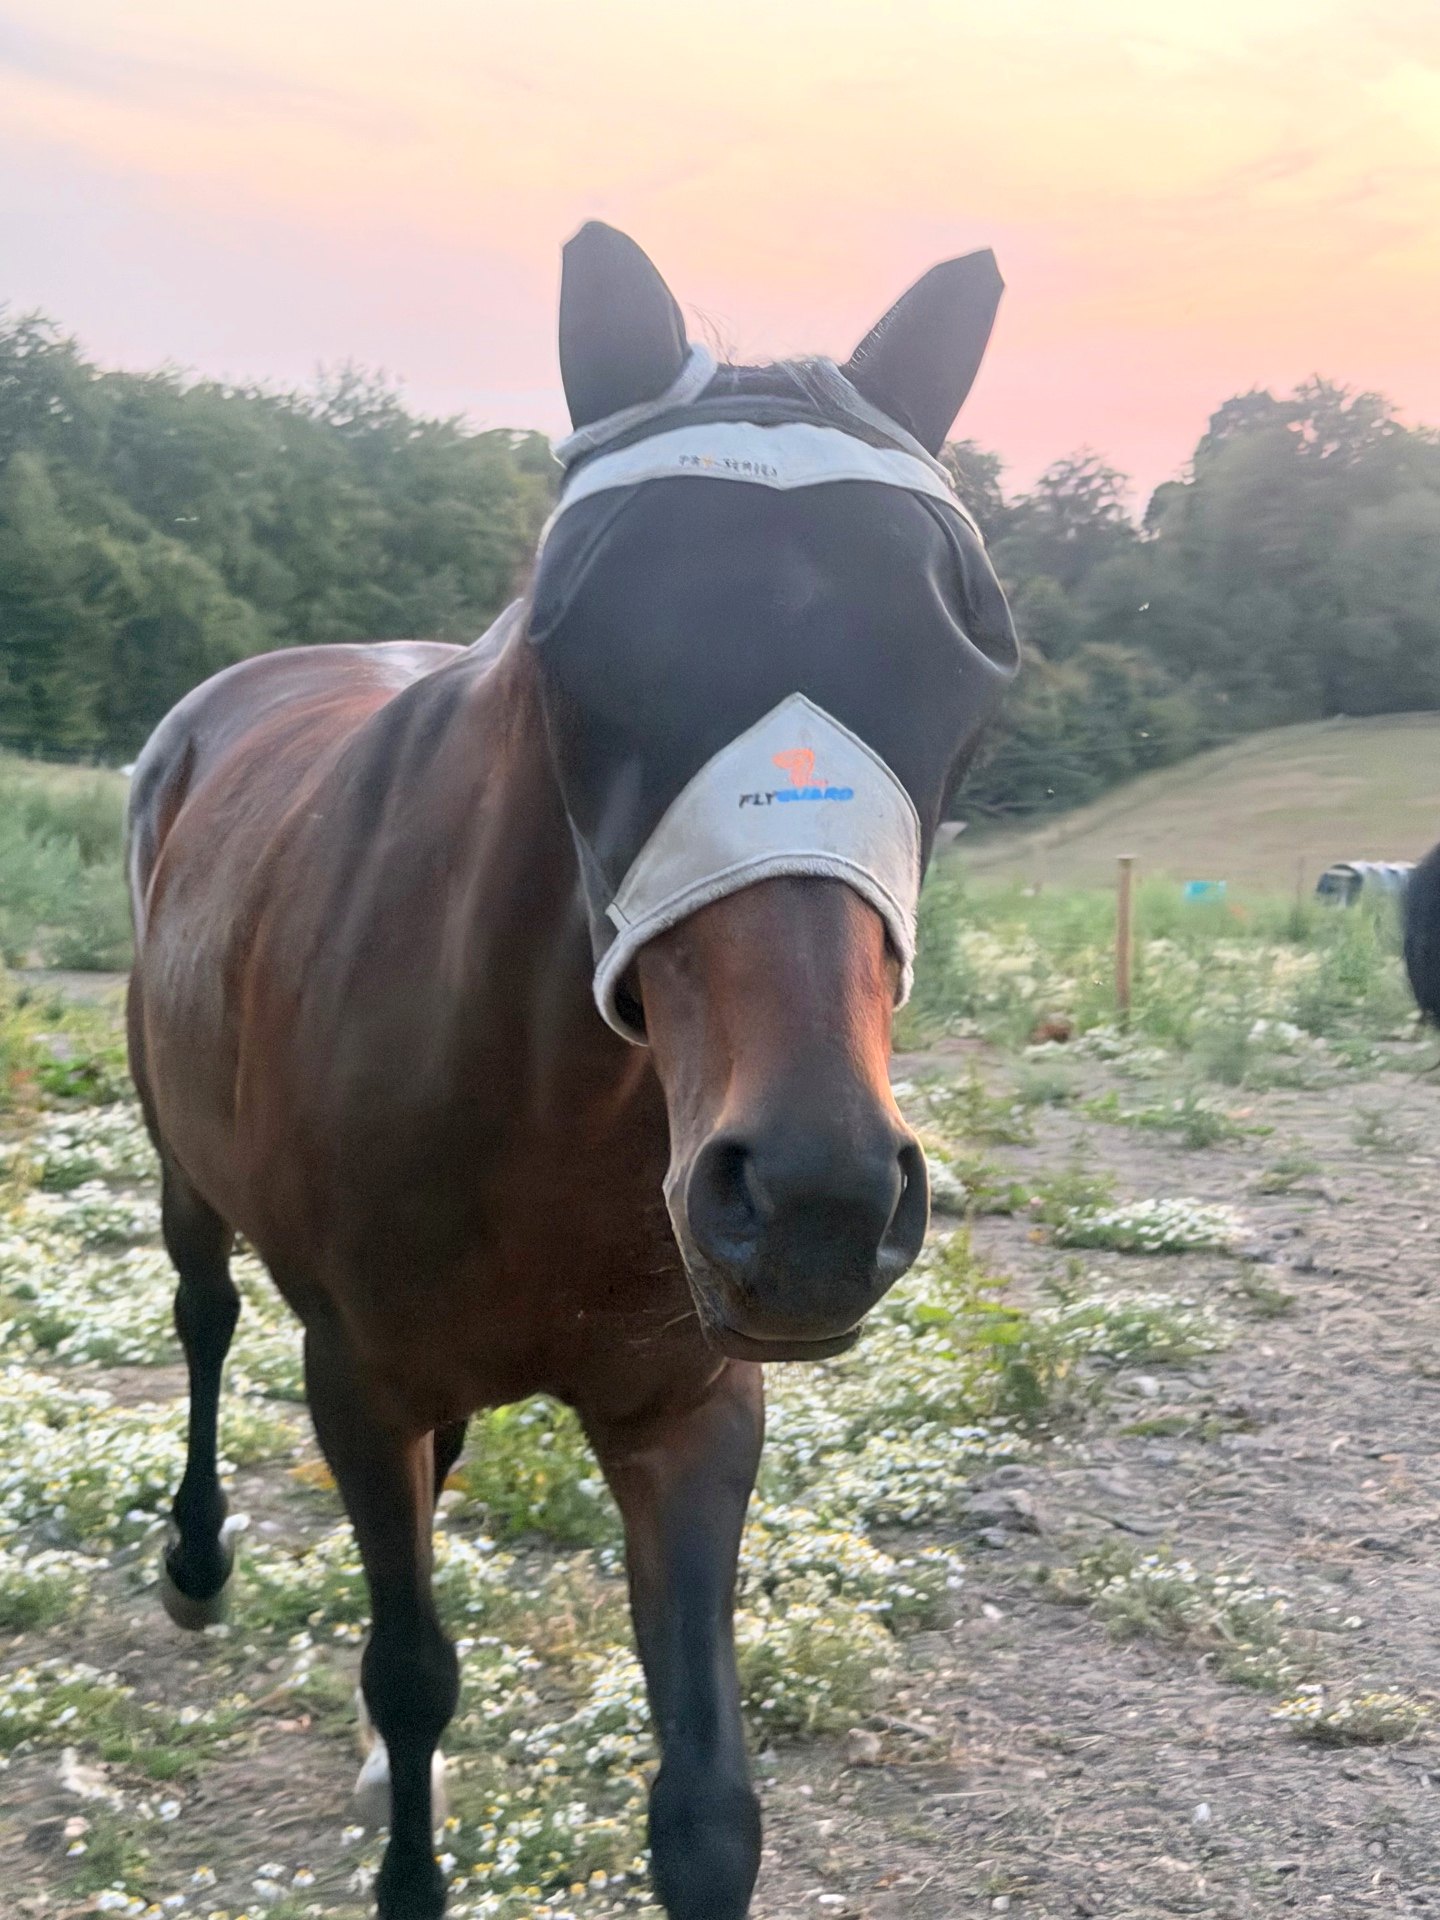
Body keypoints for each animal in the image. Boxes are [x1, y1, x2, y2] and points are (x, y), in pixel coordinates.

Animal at [125, 221, 1019, 1920]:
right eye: (576, 641)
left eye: (969, 662)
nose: (813, 1202)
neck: (543, 1112)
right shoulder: (357, 1382)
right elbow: (411, 1671)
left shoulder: (692, 1409)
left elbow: (709, 1810)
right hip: (183, 1170)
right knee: (203, 1314)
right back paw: (196, 1563)